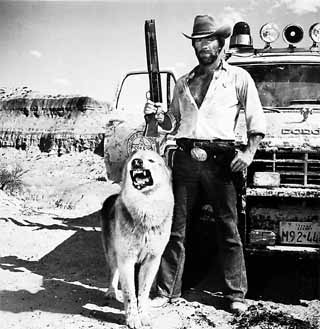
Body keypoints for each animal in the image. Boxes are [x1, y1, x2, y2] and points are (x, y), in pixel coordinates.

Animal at [101, 149, 174, 328]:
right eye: (134, 158)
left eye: (151, 160)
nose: (137, 163)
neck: (145, 207)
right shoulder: (126, 259)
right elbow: (130, 293)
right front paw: (133, 319)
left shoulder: (152, 260)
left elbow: (143, 292)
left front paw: (144, 315)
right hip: (112, 254)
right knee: (113, 272)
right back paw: (111, 291)